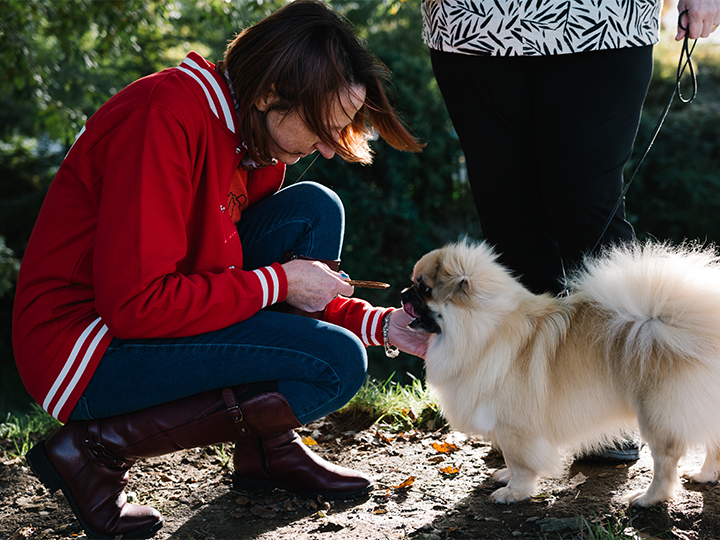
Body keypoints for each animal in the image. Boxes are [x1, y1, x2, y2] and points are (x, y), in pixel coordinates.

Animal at [400, 240, 720, 506]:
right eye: (413, 284)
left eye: (424, 288)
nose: (404, 293)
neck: (485, 331)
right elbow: (510, 461)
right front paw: (506, 477)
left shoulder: (516, 429)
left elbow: (520, 464)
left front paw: (513, 492)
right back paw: (705, 475)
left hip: (658, 416)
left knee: (666, 462)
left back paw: (647, 498)